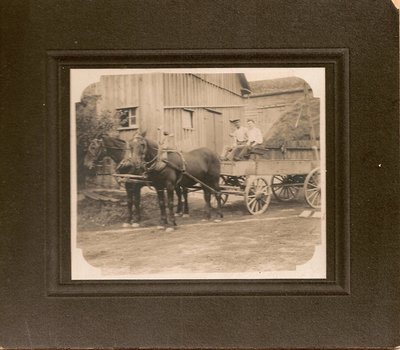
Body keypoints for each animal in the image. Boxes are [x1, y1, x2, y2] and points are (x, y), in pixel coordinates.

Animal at [84, 134, 223, 230]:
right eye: (130, 147)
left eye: (93, 147)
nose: (86, 165)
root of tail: (213, 153)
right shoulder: (147, 185)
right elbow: (136, 202)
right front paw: (131, 221)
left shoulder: (140, 185)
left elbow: (143, 202)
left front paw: (139, 221)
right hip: (202, 181)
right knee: (205, 195)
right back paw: (205, 216)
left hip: (213, 180)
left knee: (216, 194)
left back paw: (216, 216)